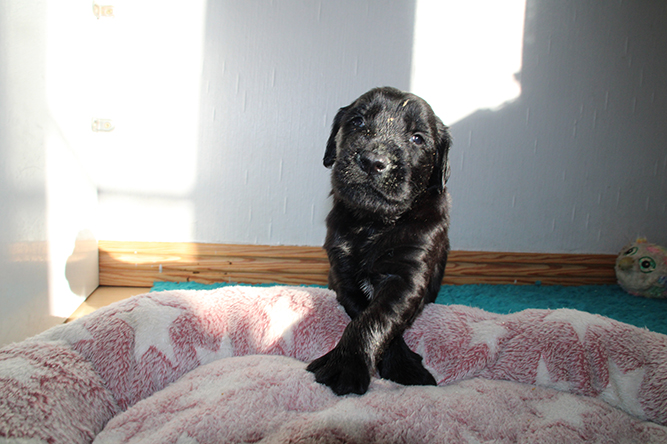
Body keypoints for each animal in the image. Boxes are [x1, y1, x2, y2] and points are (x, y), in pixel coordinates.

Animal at [306, 87, 452, 395]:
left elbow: (379, 317)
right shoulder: (343, 274)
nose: (373, 161)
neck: (373, 222)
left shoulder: (407, 275)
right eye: (358, 122)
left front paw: (347, 367)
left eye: (417, 138)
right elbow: (364, 314)